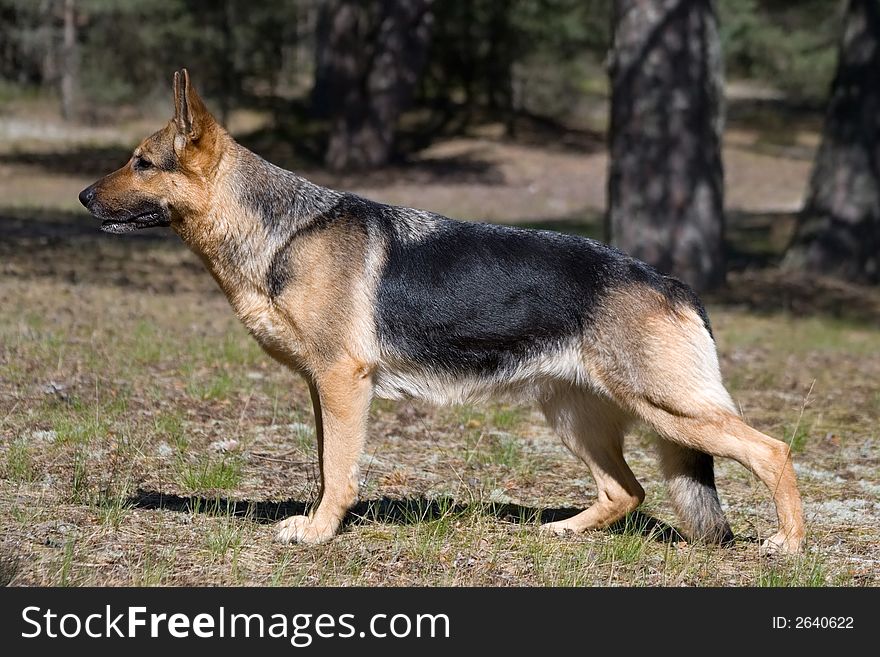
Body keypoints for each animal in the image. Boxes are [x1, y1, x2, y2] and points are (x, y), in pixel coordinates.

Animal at [77, 70, 804, 552]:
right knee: (625, 491)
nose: (82, 196)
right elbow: (326, 462)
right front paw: (320, 522)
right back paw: (561, 530)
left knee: (771, 450)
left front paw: (319, 532)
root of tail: (673, 281)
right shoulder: (322, 388)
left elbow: (339, 472)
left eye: (141, 163)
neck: (282, 230)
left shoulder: (343, 383)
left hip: (668, 407)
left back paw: (790, 544)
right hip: (575, 416)